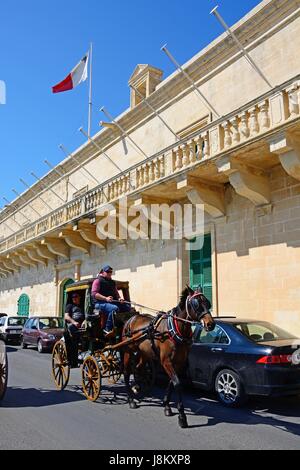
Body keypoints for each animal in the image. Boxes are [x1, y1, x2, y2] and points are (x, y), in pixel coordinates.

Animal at [122, 284, 216, 428]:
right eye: (196, 304)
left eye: (207, 303)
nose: (211, 324)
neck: (174, 330)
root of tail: (131, 319)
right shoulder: (166, 361)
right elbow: (177, 383)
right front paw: (182, 416)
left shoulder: (179, 362)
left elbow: (171, 382)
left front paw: (167, 406)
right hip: (128, 350)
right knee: (127, 372)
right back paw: (131, 399)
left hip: (144, 352)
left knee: (138, 368)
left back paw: (137, 386)